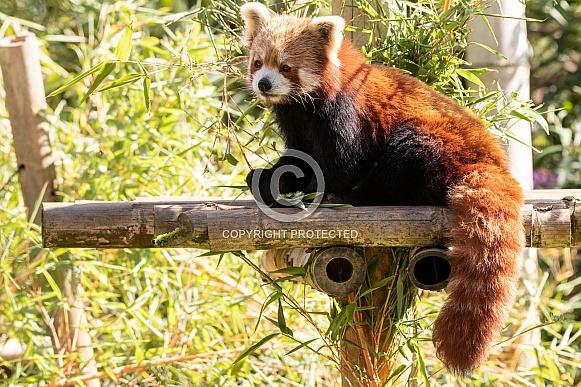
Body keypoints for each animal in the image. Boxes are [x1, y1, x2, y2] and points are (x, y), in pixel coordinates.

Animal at [240, 0, 524, 376]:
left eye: (286, 67)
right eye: (258, 62)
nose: (264, 84)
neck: (307, 104)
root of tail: (493, 161)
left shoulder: (345, 113)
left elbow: (343, 160)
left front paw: (320, 194)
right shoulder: (296, 121)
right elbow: (300, 158)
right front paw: (271, 180)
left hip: (432, 143)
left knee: (402, 162)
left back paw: (356, 198)